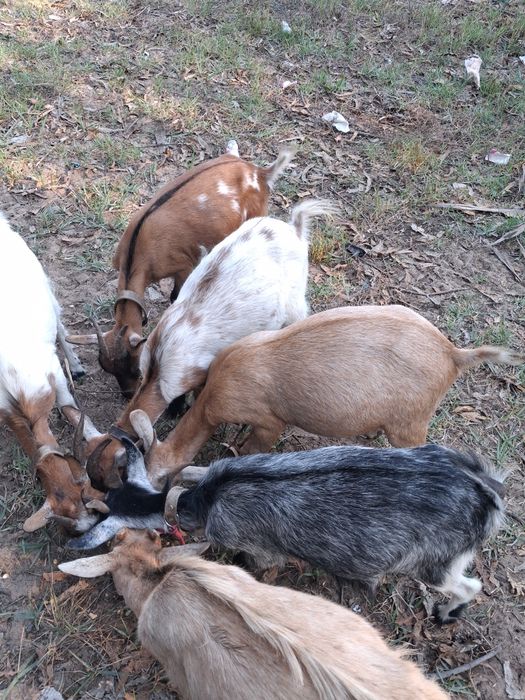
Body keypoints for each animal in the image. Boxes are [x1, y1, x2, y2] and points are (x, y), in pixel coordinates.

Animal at [0, 212, 109, 532]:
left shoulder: (52, 375)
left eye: (85, 495)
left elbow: (69, 407)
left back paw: (76, 363)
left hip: (45, 286)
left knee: (59, 323)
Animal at [67, 146, 294, 398]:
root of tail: (260, 173)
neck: (139, 251)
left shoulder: (183, 266)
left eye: (136, 368)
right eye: (107, 369)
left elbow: (174, 296)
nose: (128, 394)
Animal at [128, 305, 523, 485]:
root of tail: (452, 354)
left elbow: (253, 449)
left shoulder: (268, 420)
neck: (214, 395)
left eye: (160, 480)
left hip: (410, 424)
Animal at [161, 444, 505, 625]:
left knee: (469, 585)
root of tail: (484, 492)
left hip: (434, 563)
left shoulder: (252, 543)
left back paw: (447, 612)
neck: (210, 494)